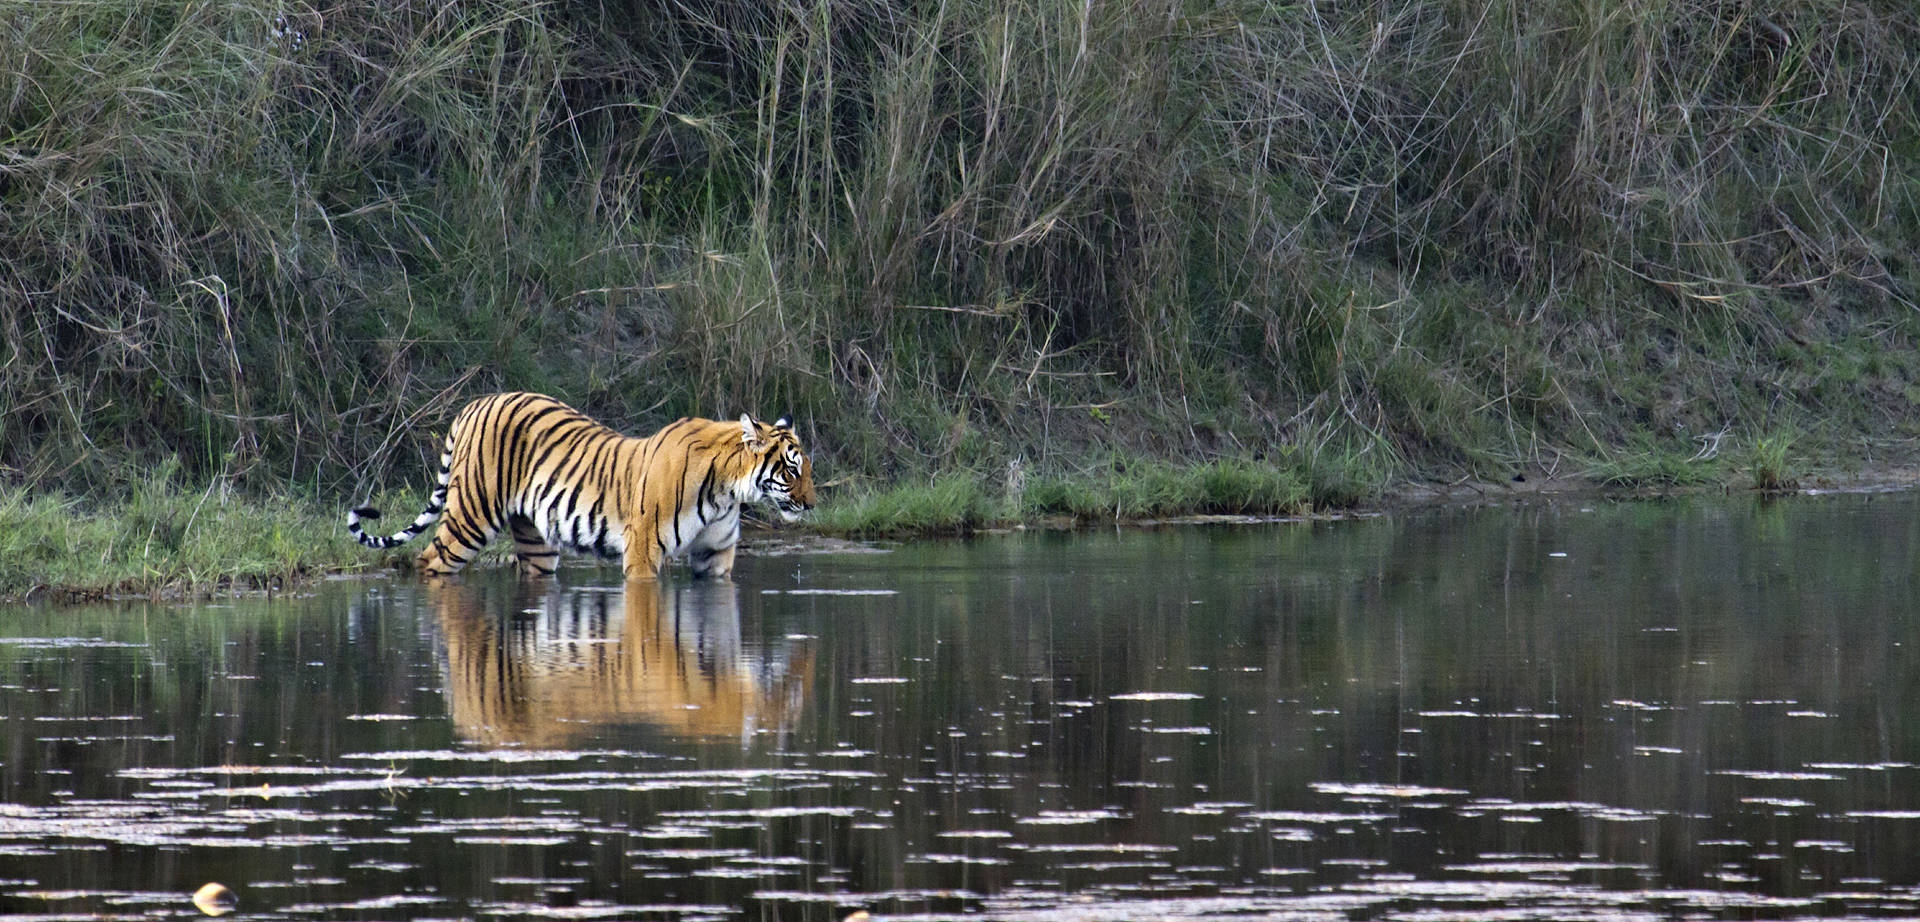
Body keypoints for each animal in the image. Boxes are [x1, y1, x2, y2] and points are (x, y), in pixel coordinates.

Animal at [349, 391, 814, 580]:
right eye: (791, 471)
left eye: (808, 469)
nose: (810, 505)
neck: (726, 493)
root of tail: (475, 404)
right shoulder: (643, 551)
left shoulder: (715, 555)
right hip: (470, 517)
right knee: (428, 560)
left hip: (536, 542)